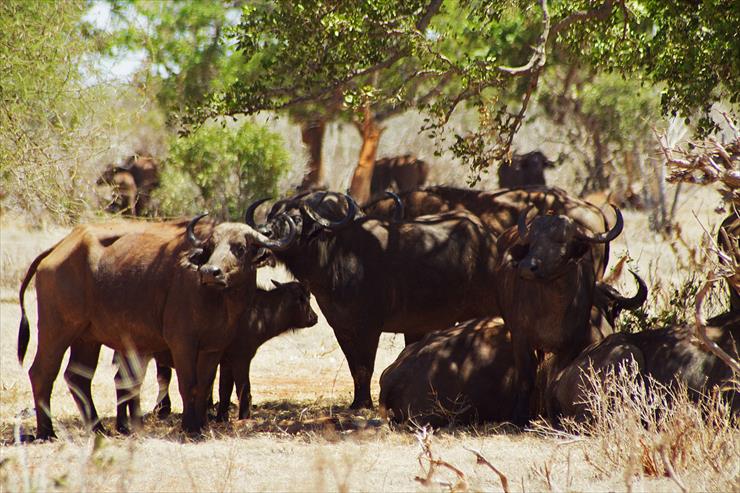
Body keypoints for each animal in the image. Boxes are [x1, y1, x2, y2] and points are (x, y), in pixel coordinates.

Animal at [14, 212, 292, 438]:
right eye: (211, 246)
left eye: (240, 248)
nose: (210, 272)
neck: (219, 301)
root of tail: (58, 248)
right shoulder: (182, 343)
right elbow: (188, 384)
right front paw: (190, 427)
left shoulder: (213, 348)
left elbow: (204, 385)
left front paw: (202, 424)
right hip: (56, 329)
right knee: (42, 373)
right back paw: (47, 432)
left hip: (87, 339)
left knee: (78, 377)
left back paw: (98, 428)